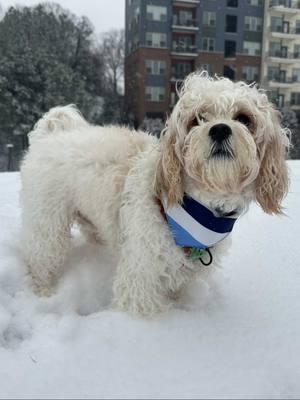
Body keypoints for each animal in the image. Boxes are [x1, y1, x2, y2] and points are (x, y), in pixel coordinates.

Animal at [19, 72, 290, 316]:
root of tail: (52, 133)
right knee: (40, 257)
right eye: (197, 119)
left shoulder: (184, 275)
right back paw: (43, 291)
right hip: (47, 222)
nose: (220, 129)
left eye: (244, 118)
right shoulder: (140, 277)